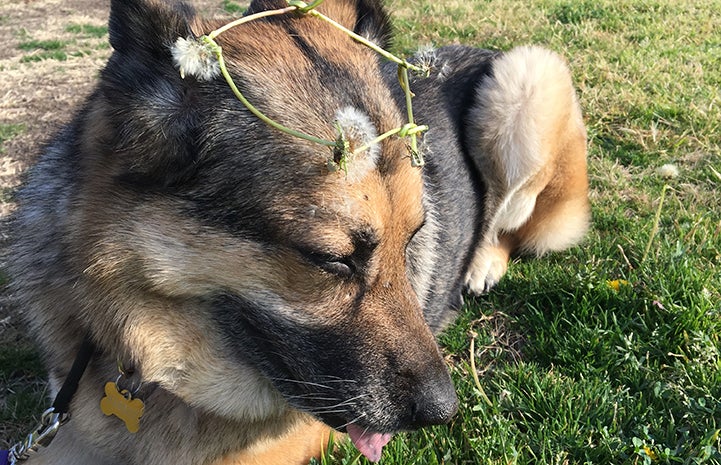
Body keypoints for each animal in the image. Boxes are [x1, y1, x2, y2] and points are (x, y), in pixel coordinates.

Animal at [8, 0, 588, 462]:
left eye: (412, 238)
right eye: (332, 259)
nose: (444, 412)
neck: (150, 360)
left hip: (526, 80)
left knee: (511, 222)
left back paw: (483, 263)